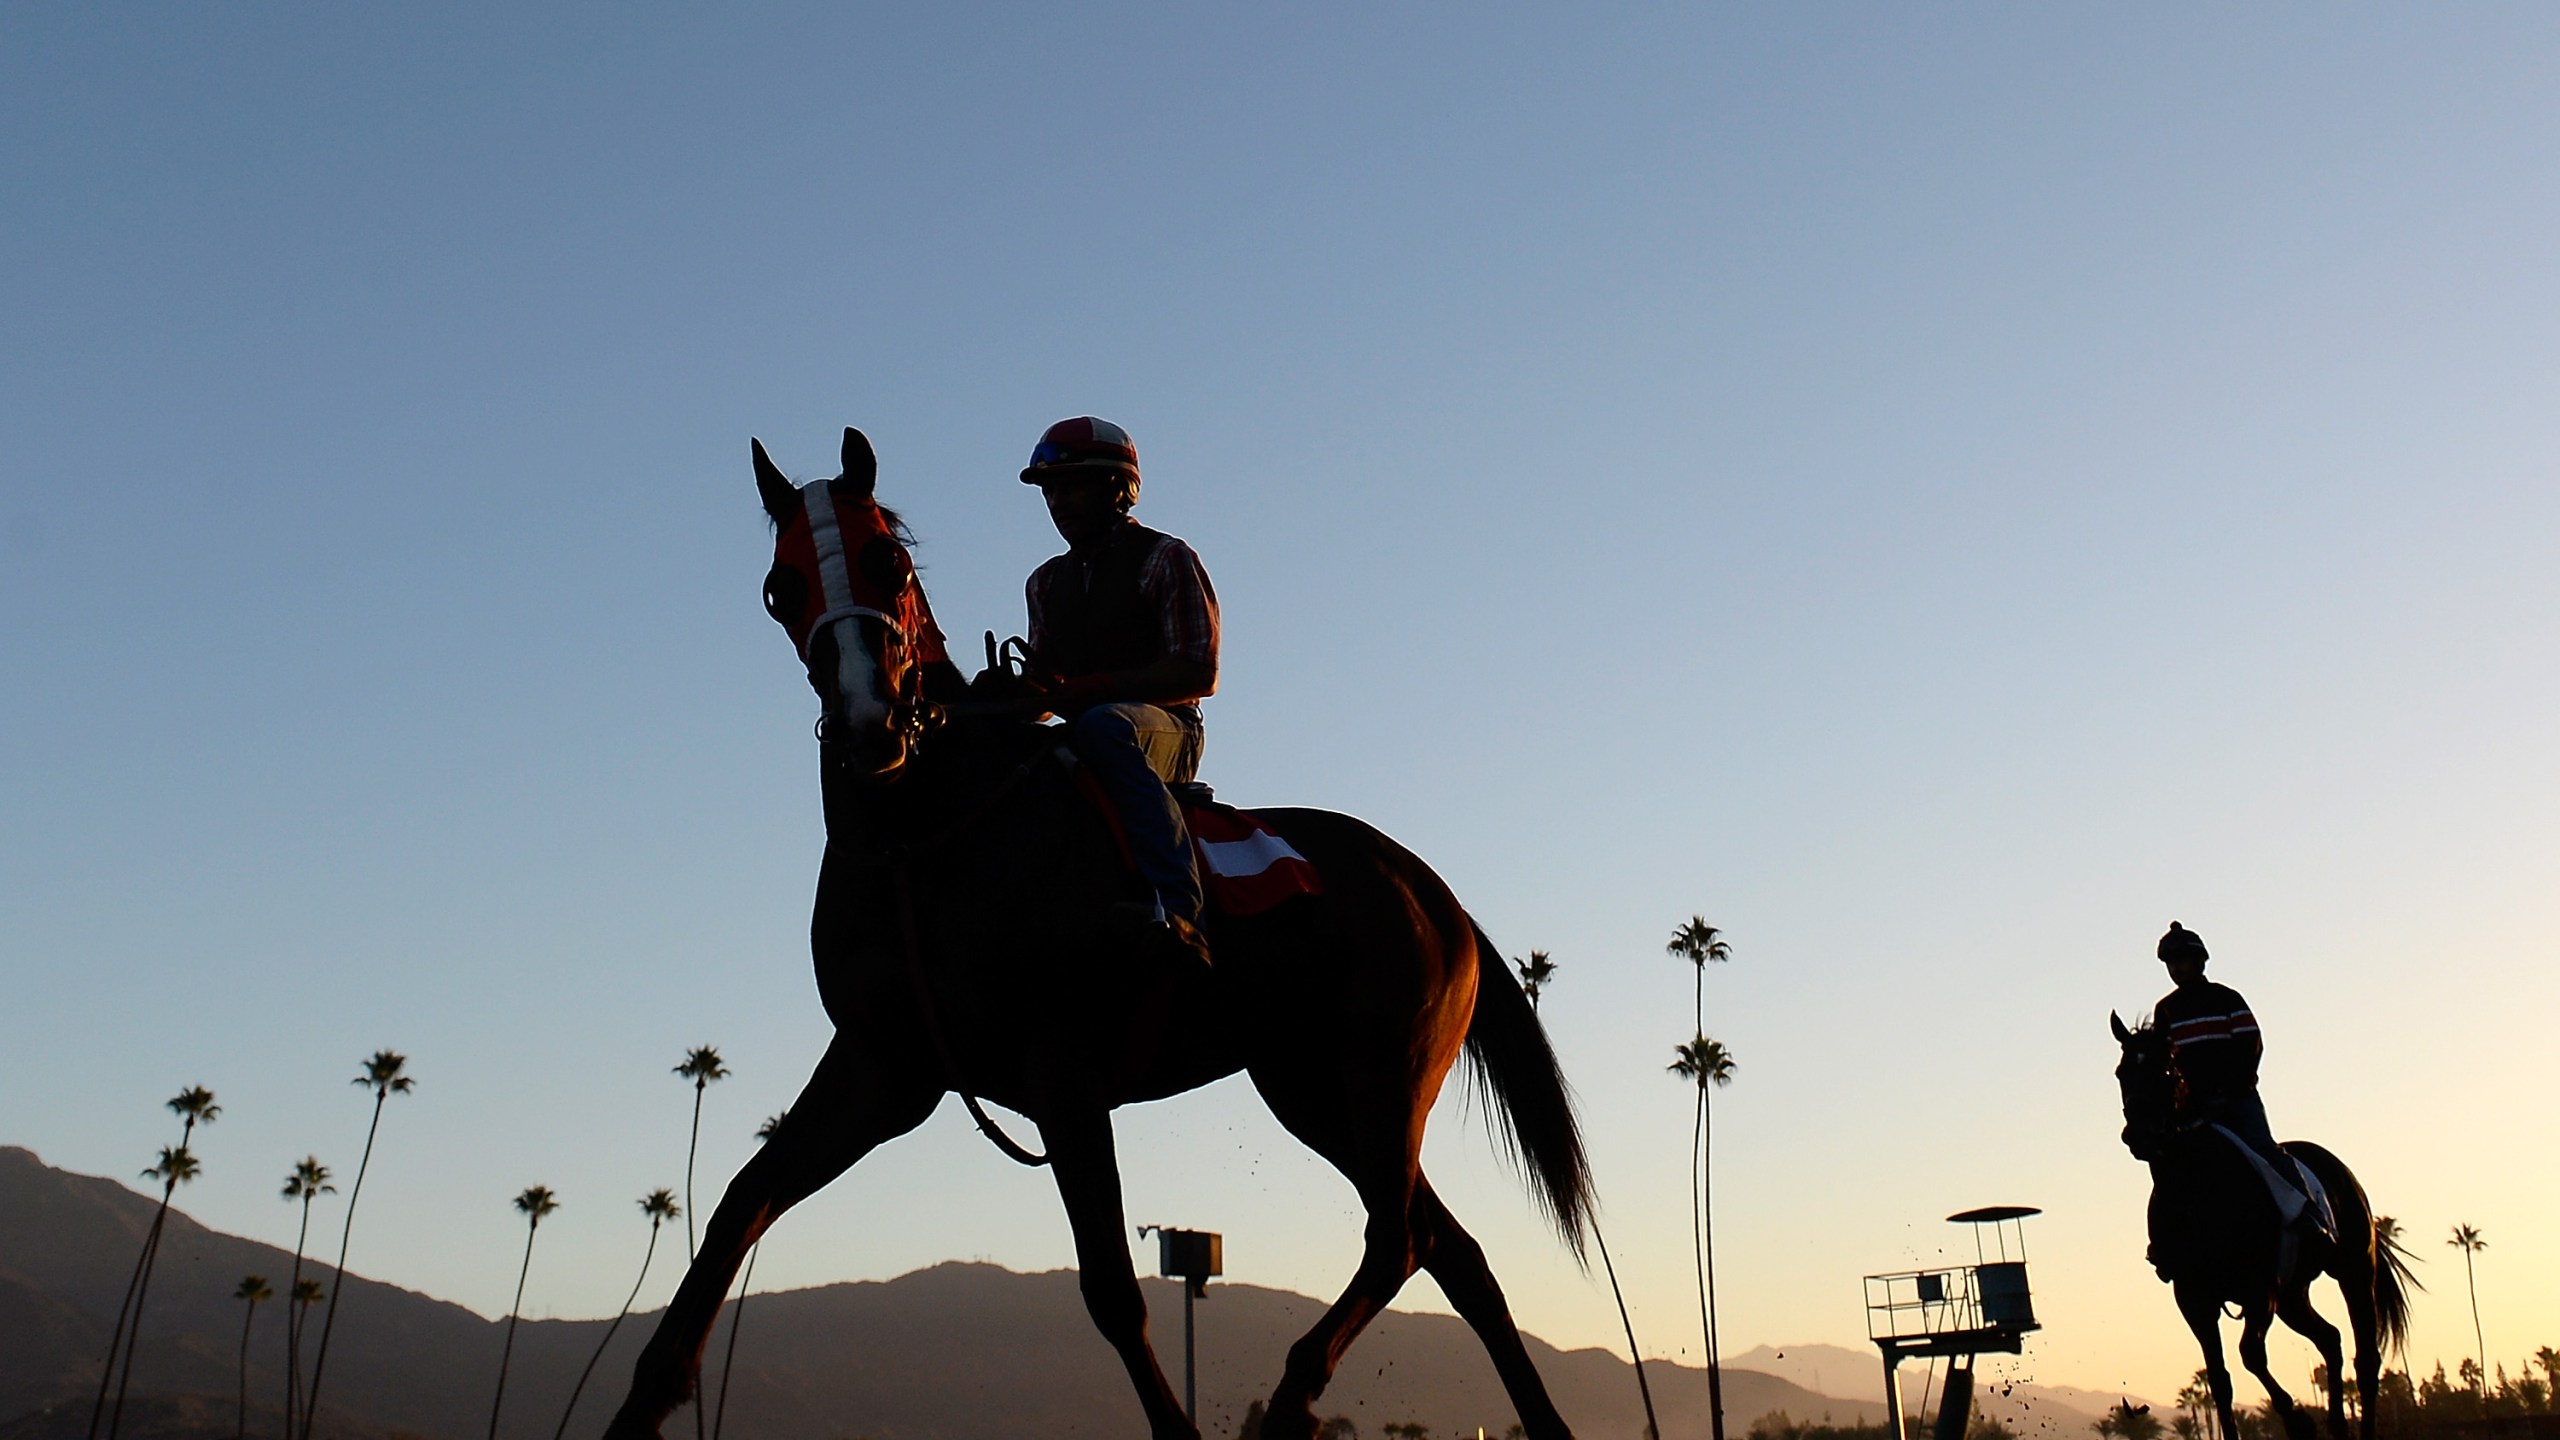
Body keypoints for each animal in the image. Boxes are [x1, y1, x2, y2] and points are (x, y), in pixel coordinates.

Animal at [606, 427, 1587, 1434]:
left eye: (889, 560)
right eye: (780, 587)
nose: (869, 724)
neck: (927, 834)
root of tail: (1433, 891)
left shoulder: (1063, 1076)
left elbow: (1113, 1287)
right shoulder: (884, 1067)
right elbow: (740, 1202)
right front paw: (645, 1398)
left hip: (1380, 1074)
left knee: (1397, 1239)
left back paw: (1290, 1396)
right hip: (1313, 1088)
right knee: (1451, 1251)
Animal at [2109, 1009, 2406, 1434]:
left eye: (2165, 1069)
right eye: (2122, 1072)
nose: (2141, 1134)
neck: (2195, 1191)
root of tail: (2342, 1172)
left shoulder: (2258, 1288)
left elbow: (2250, 1354)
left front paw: (2299, 1421)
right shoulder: (2193, 1297)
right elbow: (2219, 1381)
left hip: (2353, 1270)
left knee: (2365, 1358)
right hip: (2293, 1295)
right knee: (2330, 1339)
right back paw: (2336, 1424)